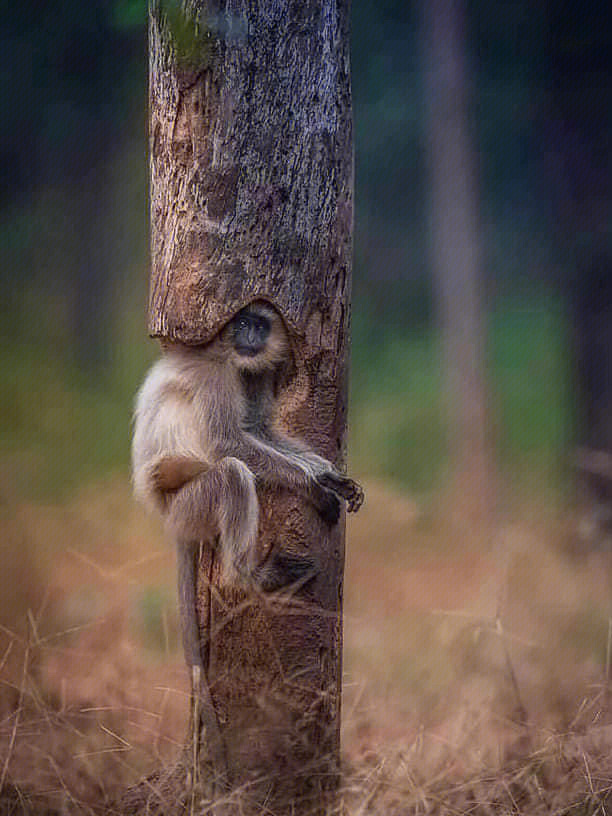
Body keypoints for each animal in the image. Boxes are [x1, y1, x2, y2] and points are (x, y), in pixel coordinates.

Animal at [131, 300, 364, 783]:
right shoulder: (218, 375)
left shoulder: (249, 374)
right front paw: (315, 487)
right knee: (232, 473)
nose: (250, 337)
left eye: (259, 323)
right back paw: (252, 575)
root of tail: (168, 518)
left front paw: (330, 477)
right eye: (241, 322)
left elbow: (258, 428)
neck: (223, 351)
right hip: (192, 503)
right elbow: (231, 442)